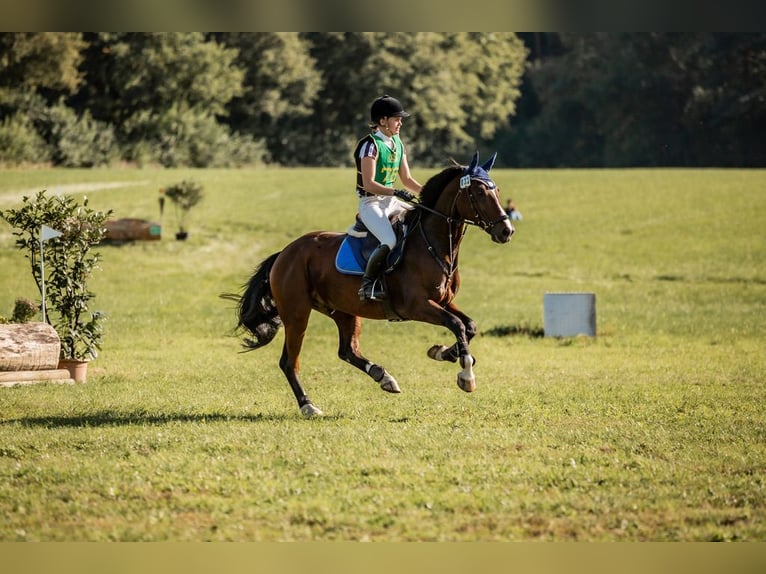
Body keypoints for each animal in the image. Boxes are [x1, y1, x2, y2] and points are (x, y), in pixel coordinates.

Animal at [222, 151, 516, 416]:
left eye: (497, 190)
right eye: (479, 192)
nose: (506, 231)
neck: (433, 245)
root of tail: (284, 253)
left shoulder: (444, 301)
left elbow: (469, 326)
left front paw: (443, 352)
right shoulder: (417, 306)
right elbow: (456, 325)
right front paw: (466, 374)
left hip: (343, 310)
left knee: (347, 350)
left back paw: (383, 376)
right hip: (297, 314)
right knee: (289, 361)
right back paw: (308, 405)